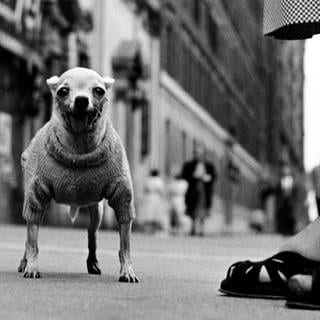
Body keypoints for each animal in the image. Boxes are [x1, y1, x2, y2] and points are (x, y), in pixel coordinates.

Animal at [17, 67, 138, 282]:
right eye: (63, 91)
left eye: (99, 91)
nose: (81, 100)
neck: (79, 147)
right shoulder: (35, 198)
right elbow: (32, 240)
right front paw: (31, 265)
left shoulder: (123, 198)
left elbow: (125, 244)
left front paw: (127, 270)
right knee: (29, 234)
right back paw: (24, 262)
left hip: (96, 209)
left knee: (92, 233)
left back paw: (93, 262)